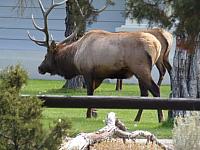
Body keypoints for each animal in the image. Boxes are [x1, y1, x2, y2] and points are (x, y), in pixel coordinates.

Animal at [28, 0, 165, 122]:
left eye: (46, 55)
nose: (40, 68)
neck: (75, 56)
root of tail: (156, 45)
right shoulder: (99, 76)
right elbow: (94, 94)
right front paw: (94, 112)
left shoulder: (87, 71)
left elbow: (89, 93)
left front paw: (88, 115)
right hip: (140, 71)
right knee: (145, 93)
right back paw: (138, 118)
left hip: (140, 68)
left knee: (155, 90)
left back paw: (160, 118)